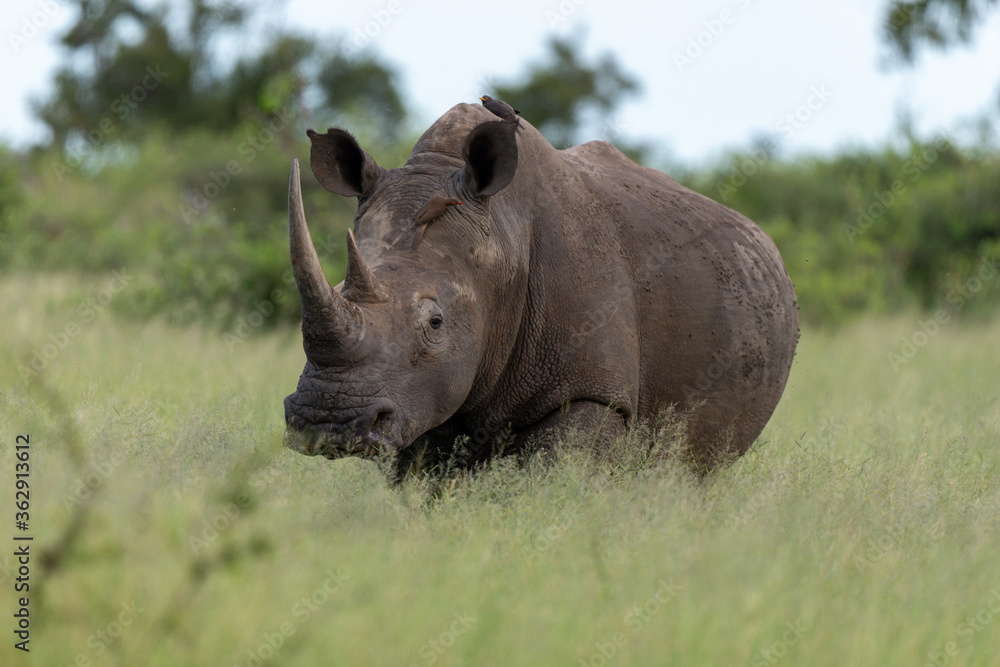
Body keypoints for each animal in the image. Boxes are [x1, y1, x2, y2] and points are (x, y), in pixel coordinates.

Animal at [283, 103, 798, 475]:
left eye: (435, 322)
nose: (328, 420)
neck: (502, 241)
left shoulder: (590, 391)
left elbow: (556, 484)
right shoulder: (423, 396)